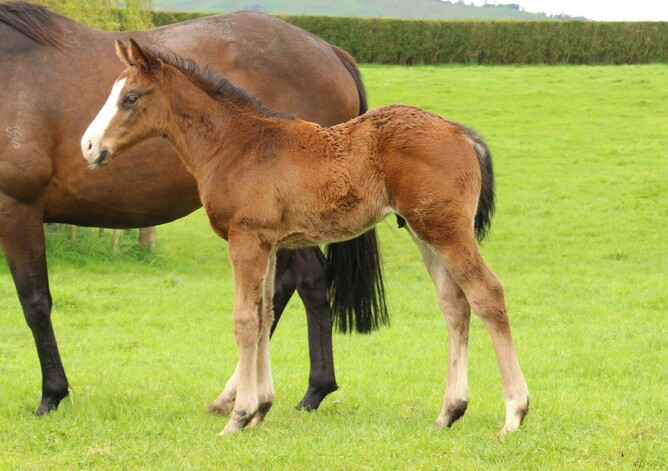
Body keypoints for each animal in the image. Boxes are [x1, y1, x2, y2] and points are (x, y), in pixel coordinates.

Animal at [0, 2, 388, 416]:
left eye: (130, 98)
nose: (88, 145)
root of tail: (330, 52)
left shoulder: (18, 208)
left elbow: (35, 302)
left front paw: (51, 394)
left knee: (306, 285)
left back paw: (303, 391)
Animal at [82, 39, 530, 435]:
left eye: (131, 98)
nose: (88, 146)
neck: (234, 145)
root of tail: (461, 133)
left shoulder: (245, 239)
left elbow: (244, 320)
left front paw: (238, 416)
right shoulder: (268, 243)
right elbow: (264, 314)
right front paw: (261, 408)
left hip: (448, 230)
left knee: (487, 294)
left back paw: (514, 413)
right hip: (425, 233)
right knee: (455, 306)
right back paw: (448, 413)